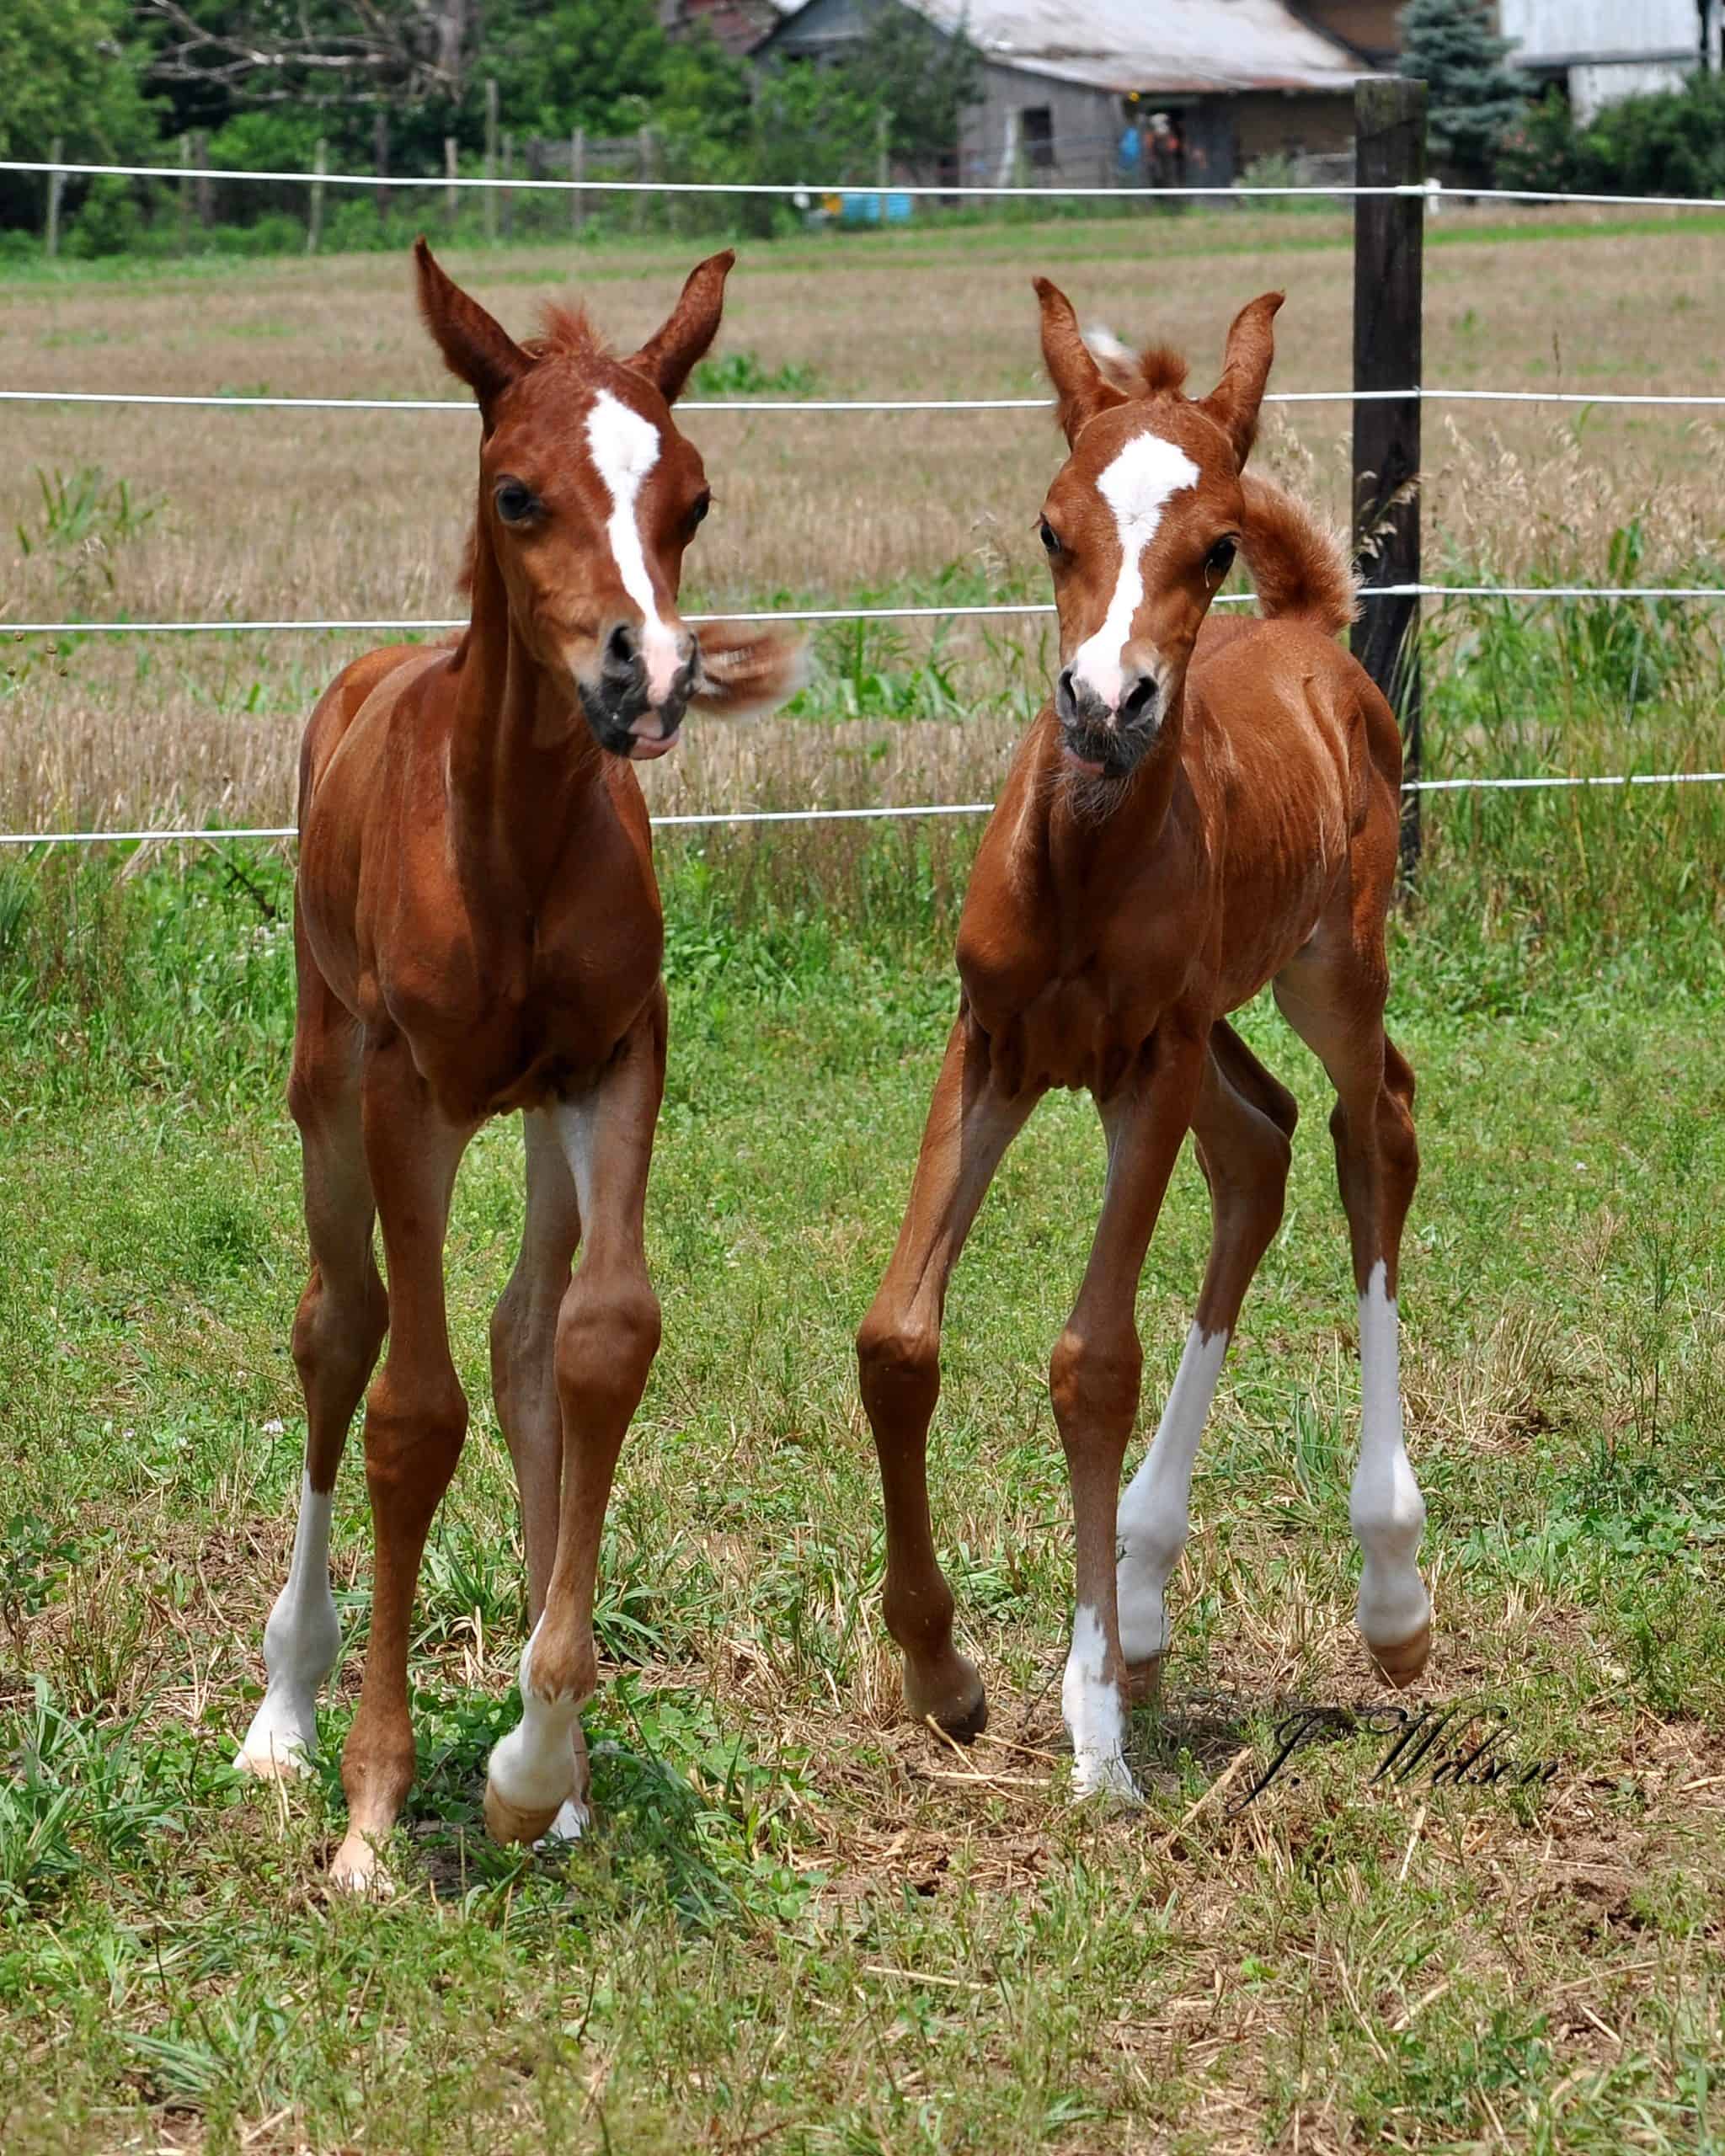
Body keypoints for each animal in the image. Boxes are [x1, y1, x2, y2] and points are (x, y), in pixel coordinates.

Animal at [232, 240, 806, 1888]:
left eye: (693, 496)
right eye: (515, 493)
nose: (649, 675)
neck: (516, 842)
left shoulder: (615, 1060)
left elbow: (601, 1343)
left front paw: (532, 1764)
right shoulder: (405, 1092)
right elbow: (409, 1417)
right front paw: (371, 1811)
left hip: (536, 1117)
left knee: (523, 1342)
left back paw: (557, 1790)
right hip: (324, 1085)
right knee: (339, 1331)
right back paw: (284, 1713)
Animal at [853, 286, 1431, 1802]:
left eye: (1212, 544)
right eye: (1052, 526)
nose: (1106, 705)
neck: (1083, 872)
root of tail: (1310, 631)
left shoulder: (1142, 1070)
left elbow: (1091, 1361)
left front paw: (1098, 1729)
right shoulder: (992, 1044)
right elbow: (897, 1339)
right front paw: (945, 1676)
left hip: (1326, 970)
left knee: (1369, 1131)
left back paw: (1389, 1590)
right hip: (1213, 1024)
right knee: (1263, 1147)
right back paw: (1152, 1587)